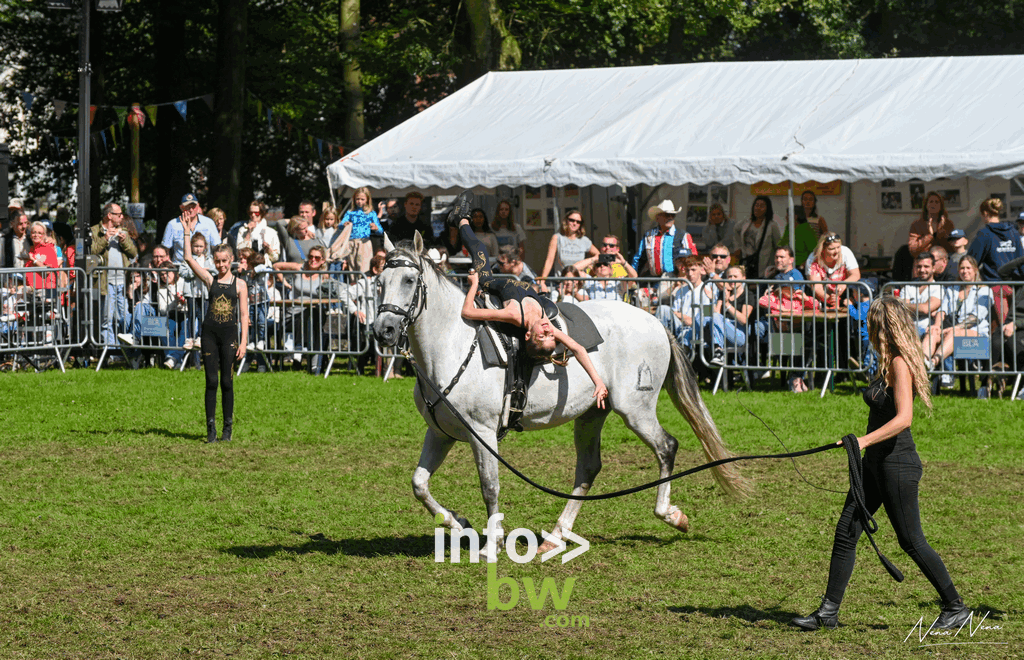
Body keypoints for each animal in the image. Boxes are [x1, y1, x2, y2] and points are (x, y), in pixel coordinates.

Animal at [372, 233, 749, 556]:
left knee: (666, 447)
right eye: (380, 283)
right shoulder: (440, 433)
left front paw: (492, 544)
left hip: (635, 410)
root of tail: (656, 322)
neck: (452, 342)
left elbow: (489, 485)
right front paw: (458, 523)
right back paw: (555, 536)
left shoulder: (482, 432)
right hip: (592, 413)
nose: (383, 330)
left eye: (409, 281)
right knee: (588, 468)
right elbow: (419, 484)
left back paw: (669, 514)